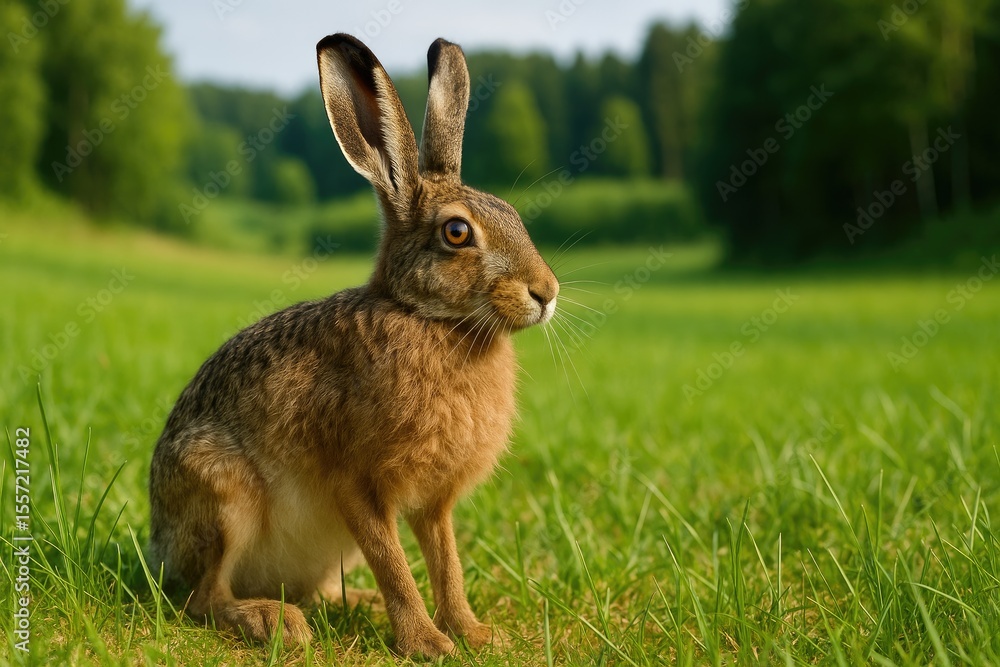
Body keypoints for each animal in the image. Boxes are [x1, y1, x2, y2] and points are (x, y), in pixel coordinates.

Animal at [148, 33, 559, 659]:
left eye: (512, 215)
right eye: (457, 232)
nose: (547, 292)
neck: (426, 317)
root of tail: (160, 546)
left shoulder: (434, 503)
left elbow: (446, 564)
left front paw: (473, 634)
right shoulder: (357, 486)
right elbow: (395, 564)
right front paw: (428, 644)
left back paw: (353, 606)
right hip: (223, 498)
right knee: (203, 597)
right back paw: (273, 621)